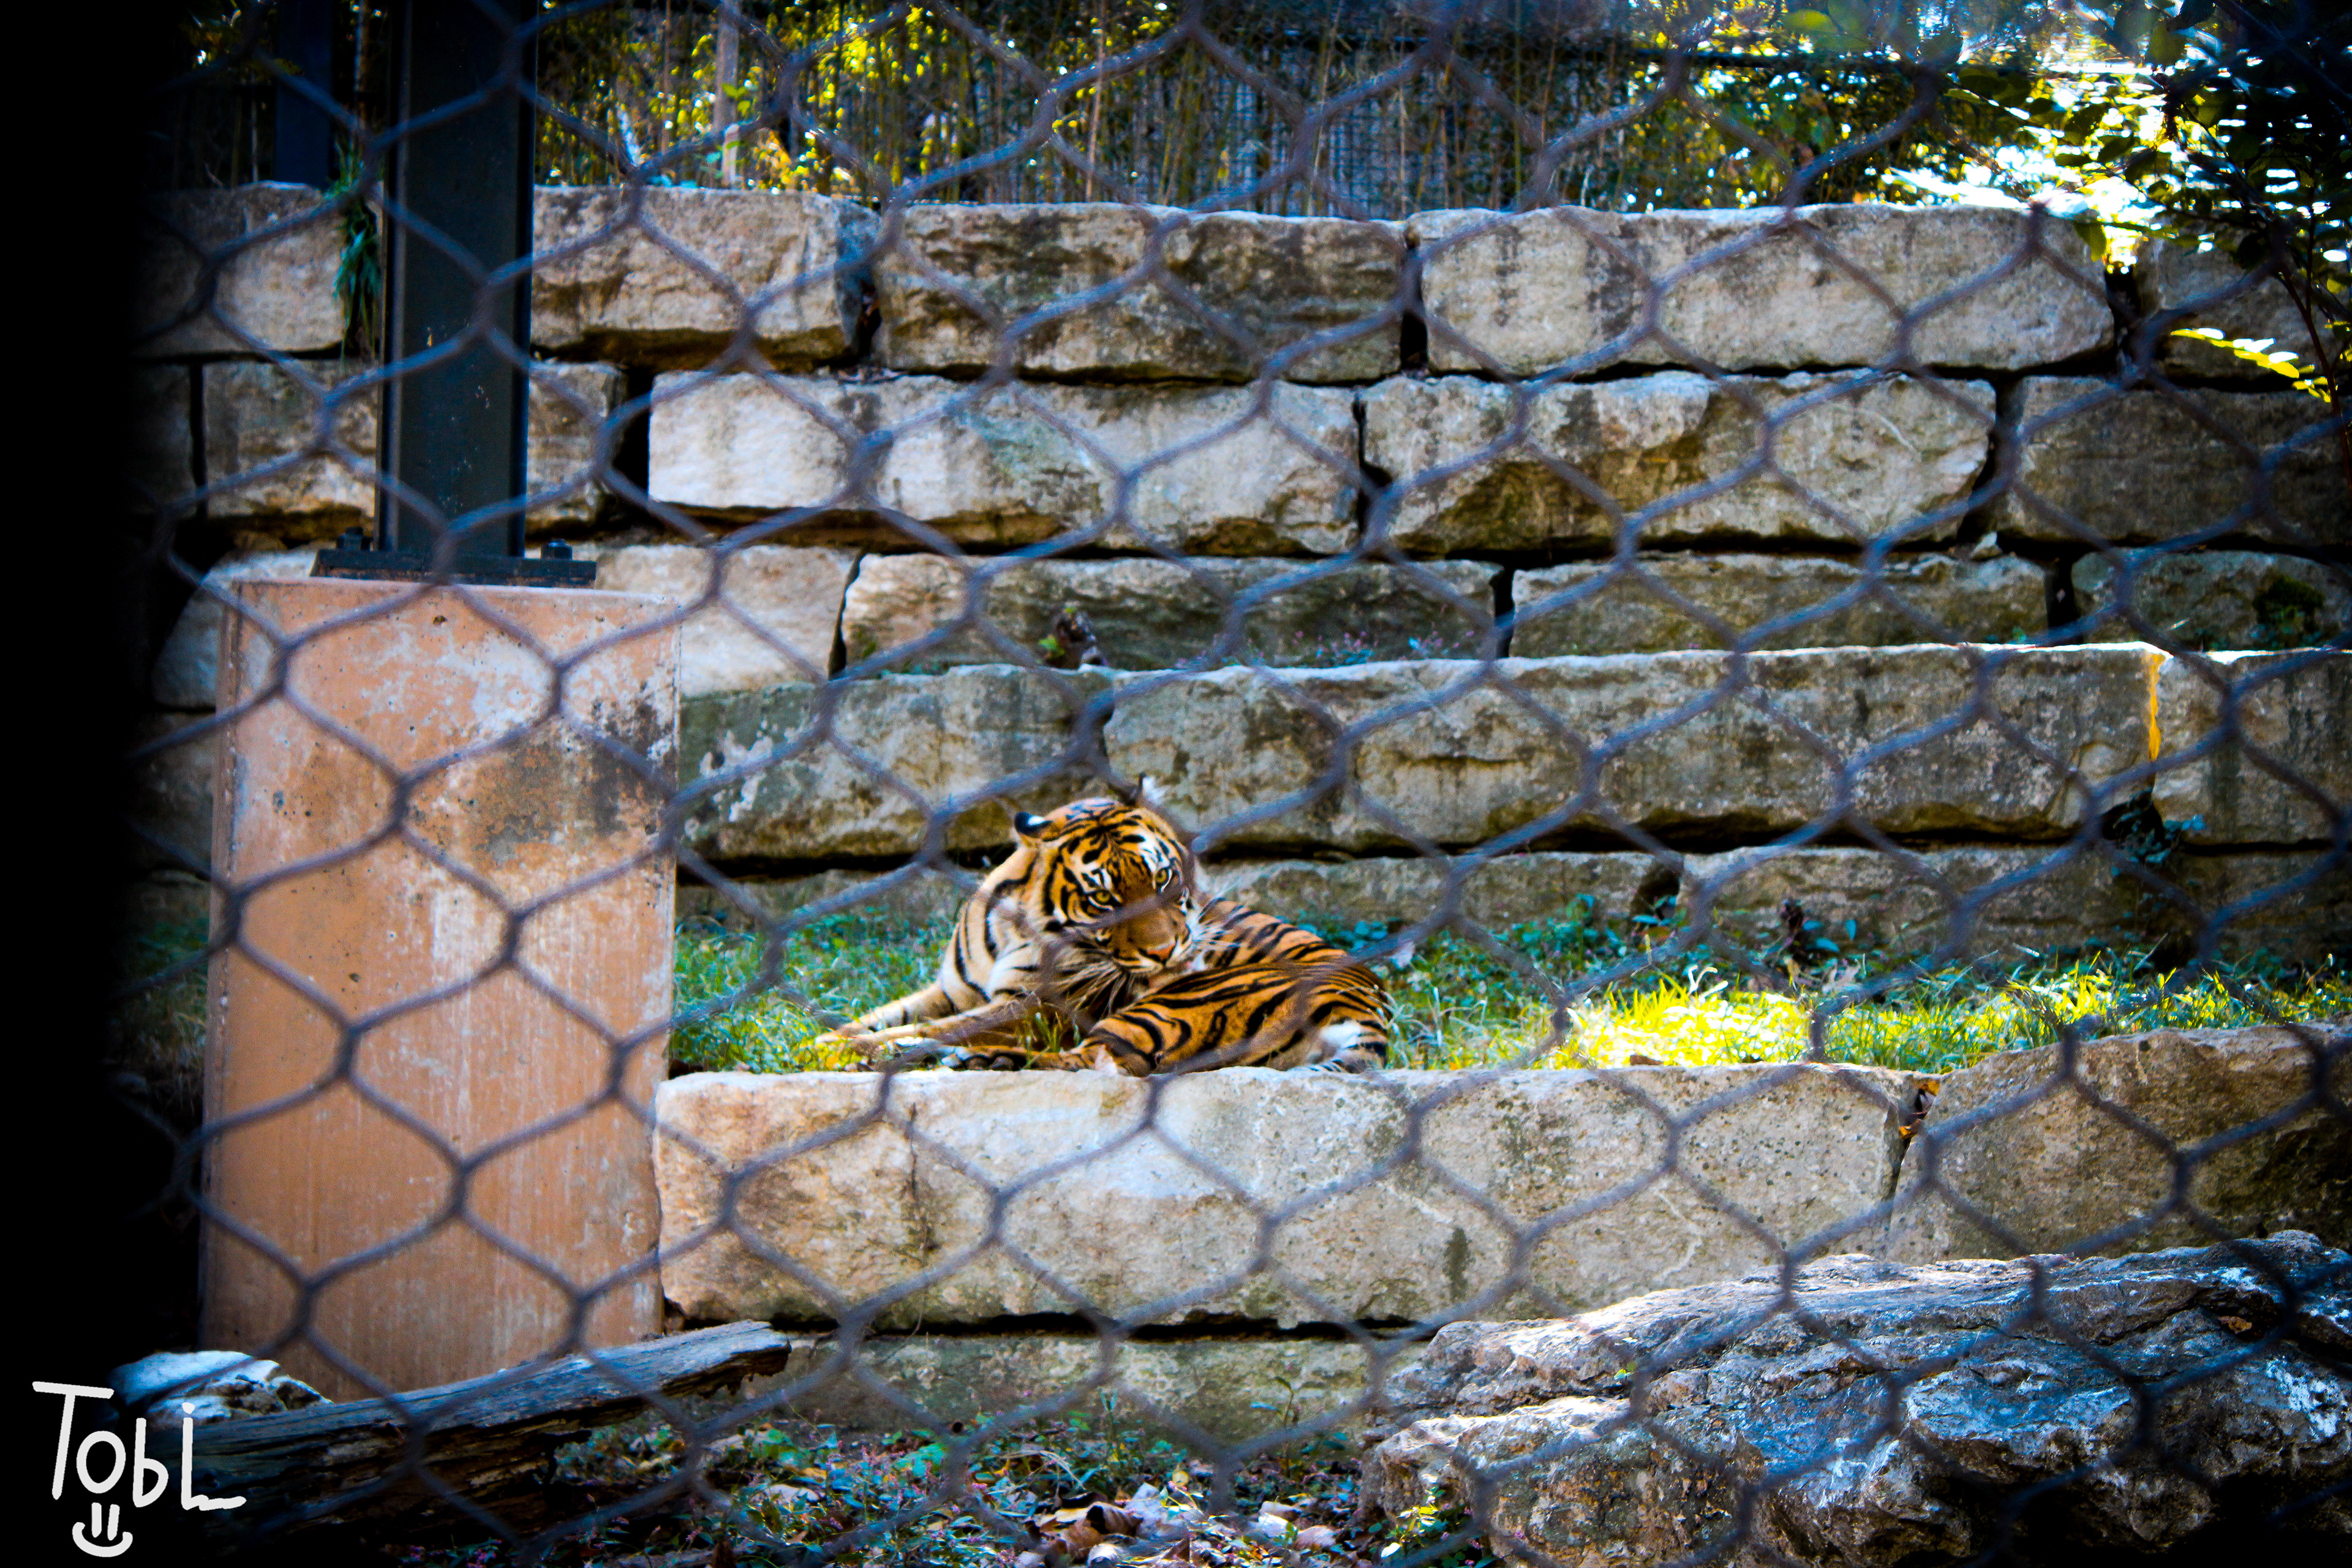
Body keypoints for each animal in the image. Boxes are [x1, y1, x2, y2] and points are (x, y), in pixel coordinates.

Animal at [821, 782, 1390, 1075]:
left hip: (1167, 1007)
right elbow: (878, 1017)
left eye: (1164, 879)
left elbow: (943, 1026)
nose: (1167, 953)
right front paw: (827, 1039)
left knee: (1084, 1063)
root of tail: (1371, 1018)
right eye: (1103, 900)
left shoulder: (1040, 1006)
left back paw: (972, 1060)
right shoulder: (951, 991)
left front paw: (858, 1051)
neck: (1014, 927)